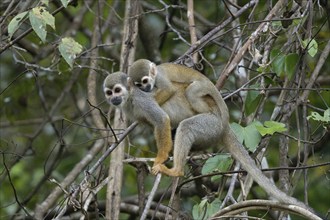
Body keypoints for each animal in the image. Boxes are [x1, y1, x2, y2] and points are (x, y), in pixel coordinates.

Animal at [125, 58, 310, 210]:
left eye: (145, 81)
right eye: (139, 84)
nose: (146, 88)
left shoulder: (160, 81)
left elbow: (167, 93)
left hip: (203, 96)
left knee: (190, 99)